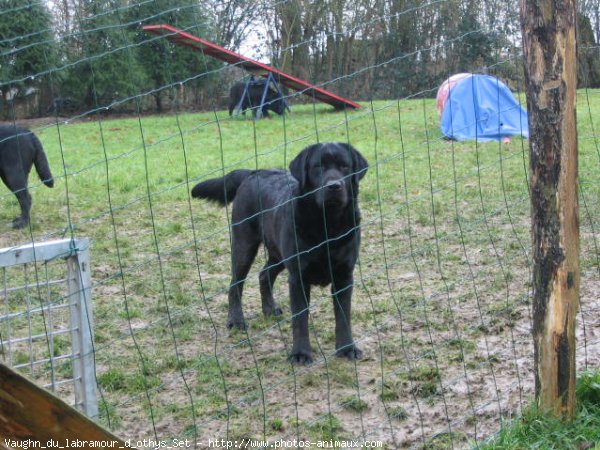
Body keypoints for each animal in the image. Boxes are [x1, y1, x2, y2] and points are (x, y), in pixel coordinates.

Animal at [193, 142, 370, 364]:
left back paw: (269, 309)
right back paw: (236, 320)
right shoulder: (298, 278)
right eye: (317, 167)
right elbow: (300, 318)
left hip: (278, 254)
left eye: (345, 166)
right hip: (244, 245)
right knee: (235, 284)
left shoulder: (344, 276)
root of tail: (253, 172)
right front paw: (301, 353)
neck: (327, 224)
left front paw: (347, 349)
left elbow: (343, 316)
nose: (334, 186)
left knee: (264, 274)